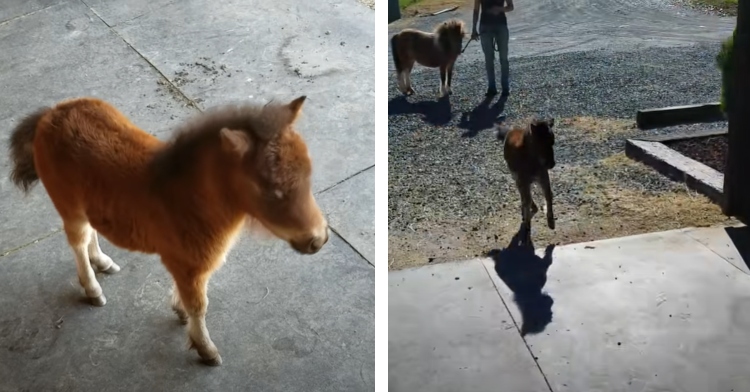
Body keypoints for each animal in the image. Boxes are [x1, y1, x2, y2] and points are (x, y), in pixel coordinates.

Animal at [5, 96, 328, 366]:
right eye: (272, 190)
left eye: (309, 173)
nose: (319, 239)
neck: (187, 197)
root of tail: (50, 114)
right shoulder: (189, 264)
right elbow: (199, 305)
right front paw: (206, 350)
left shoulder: (186, 263)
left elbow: (190, 298)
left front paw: (179, 310)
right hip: (68, 206)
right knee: (78, 241)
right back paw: (93, 289)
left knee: (90, 234)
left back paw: (103, 262)